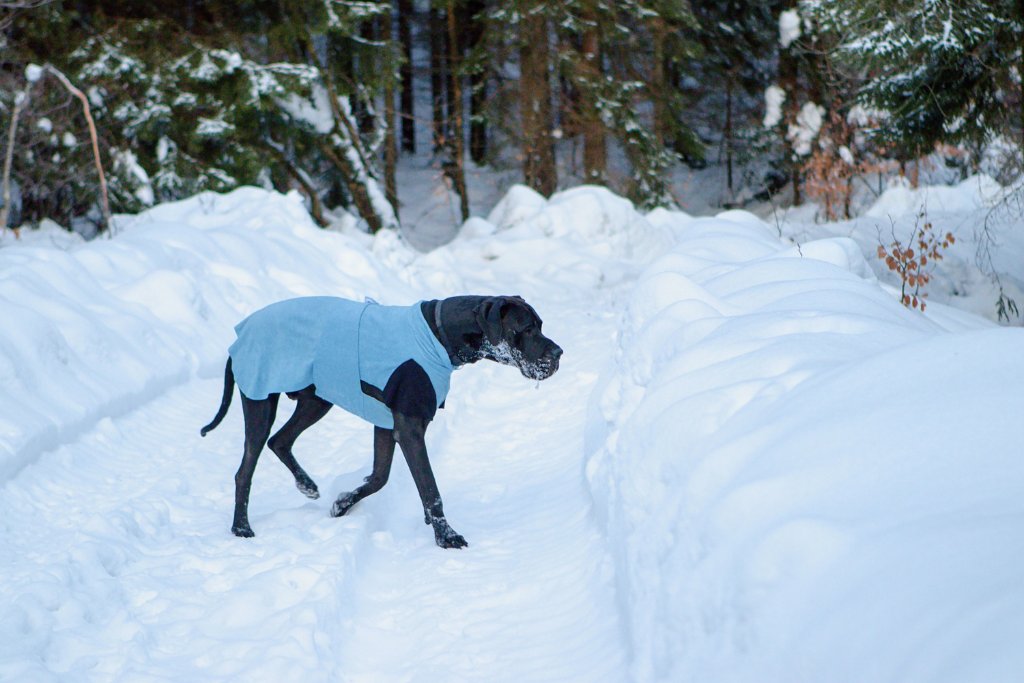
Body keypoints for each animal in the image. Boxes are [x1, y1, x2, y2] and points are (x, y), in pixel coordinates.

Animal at [198, 294, 561, 548]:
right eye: (526, 329)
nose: (558, 353)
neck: (438, 334)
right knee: (245, 470)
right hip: (261, 400)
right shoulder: (410, 428)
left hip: (317, 399)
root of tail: (238, 337)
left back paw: (306, 484)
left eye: (541, 325)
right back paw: (241, 528)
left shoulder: (388, 425)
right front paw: (446, 537)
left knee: (280, 440)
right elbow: (430, 489)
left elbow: (378, 478)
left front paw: (342, 504)